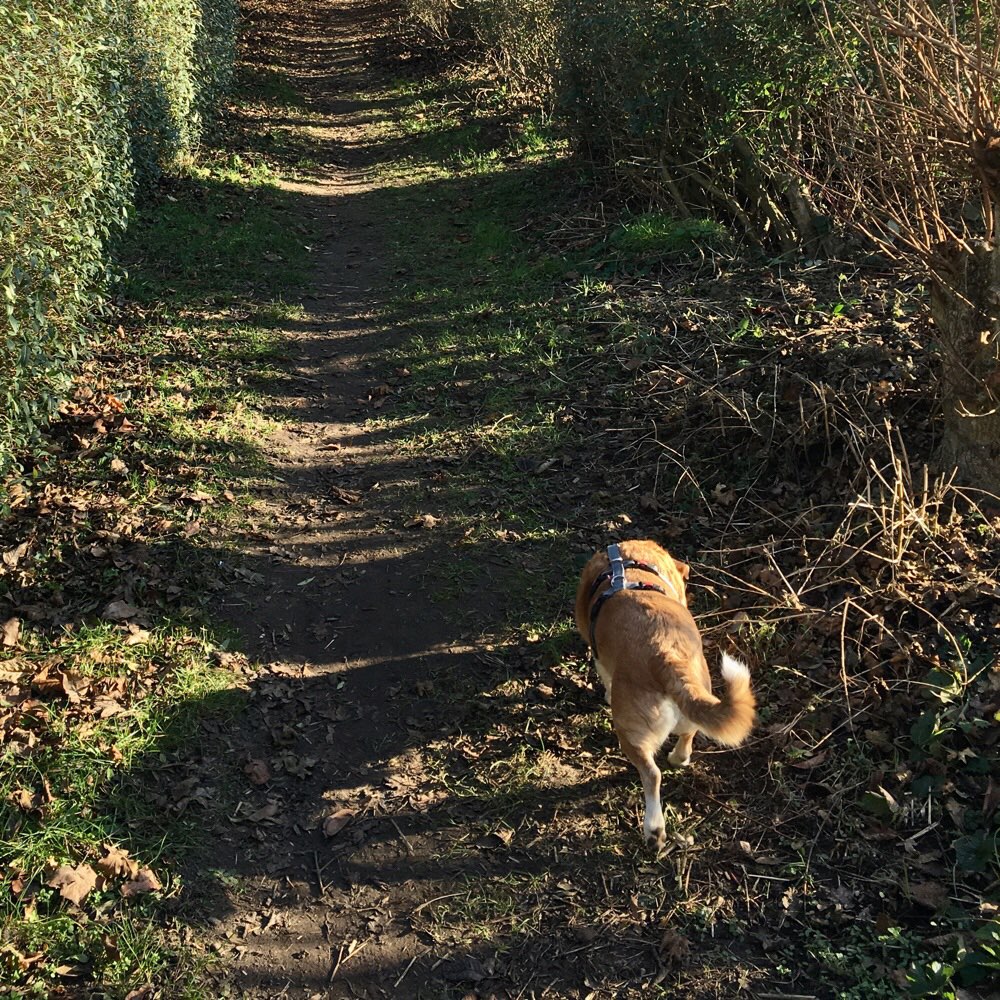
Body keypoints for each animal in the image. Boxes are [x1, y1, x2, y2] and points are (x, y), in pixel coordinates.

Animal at [576, 544, 752, 848]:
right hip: (694, 700)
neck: (632, 566)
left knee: (652, 774)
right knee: (688, 735)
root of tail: (664, 655)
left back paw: (654, 829)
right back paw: (679, 759)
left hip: (630, 733)